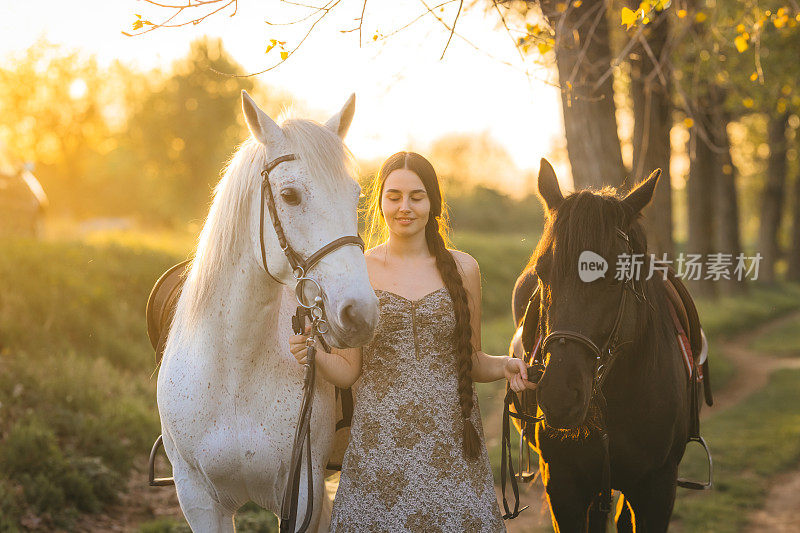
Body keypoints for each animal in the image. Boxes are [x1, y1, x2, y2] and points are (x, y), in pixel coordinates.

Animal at [159, 92, 382, 532]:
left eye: (355, 196)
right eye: (291, 195)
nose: (360, 313)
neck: (233, 371)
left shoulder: (301, 494)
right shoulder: (198, 498)